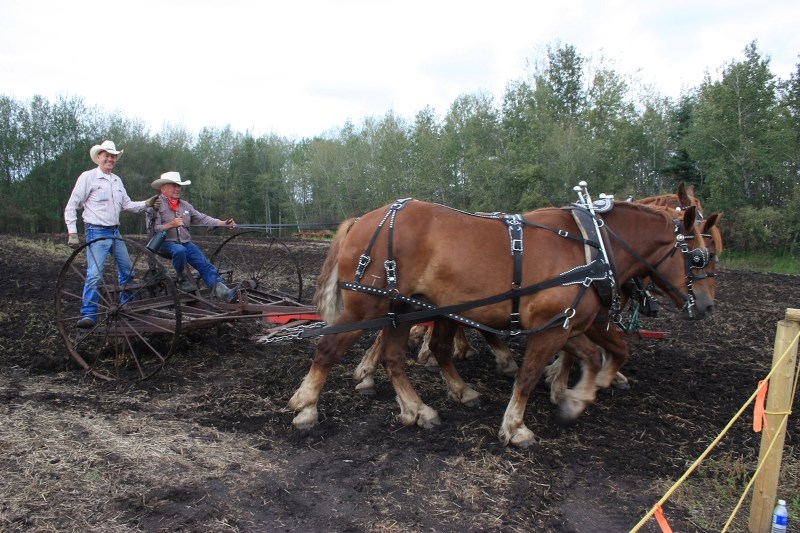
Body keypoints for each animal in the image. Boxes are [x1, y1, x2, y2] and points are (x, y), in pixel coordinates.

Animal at [290, 195, 720, 444]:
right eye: (700, 257)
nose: (706, 305)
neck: (592, 245)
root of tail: (363, 219)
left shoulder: (569, 323)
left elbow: (599, 353)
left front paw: (577, 395)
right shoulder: (553, 325)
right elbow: (528, 375)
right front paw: (517, 425)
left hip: (404, 309)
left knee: (395, 358)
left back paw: (419, 410)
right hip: (369, 306)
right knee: (328, 347)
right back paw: (307, 407)